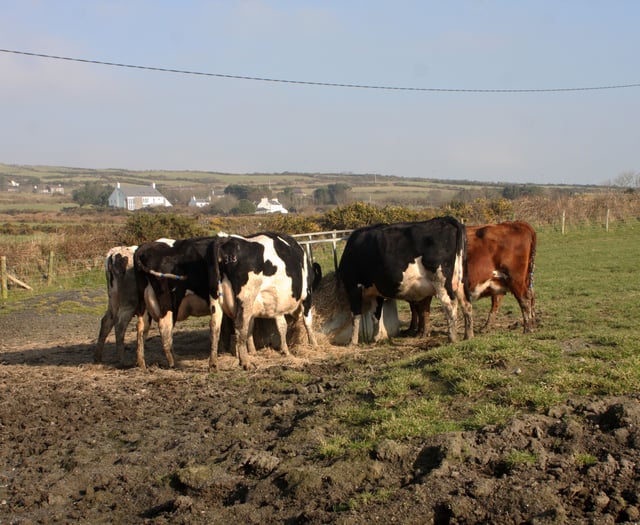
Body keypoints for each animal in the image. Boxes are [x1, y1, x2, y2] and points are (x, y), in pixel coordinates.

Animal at [208, 232, 321, 371]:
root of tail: (226, 240)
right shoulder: (306, 295)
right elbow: (307, 321)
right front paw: (314, 344)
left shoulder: (276, 305)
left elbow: (279, 326)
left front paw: (281, 350)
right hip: (245, 298)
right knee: (239, 326)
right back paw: (245, 362)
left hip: (215, 299)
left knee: (215, 327)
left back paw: (213, 364)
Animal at [337, 216, 473, 345]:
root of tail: (445, 219)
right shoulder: (376, 292)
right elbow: (376, 315)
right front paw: (374, 339)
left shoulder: (353, 287)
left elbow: (355, 315)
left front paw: (352, 342)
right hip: (460, 281)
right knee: (466, 304)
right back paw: (468, 336)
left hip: (441, 281)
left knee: (450, 304)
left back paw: (452, 338)